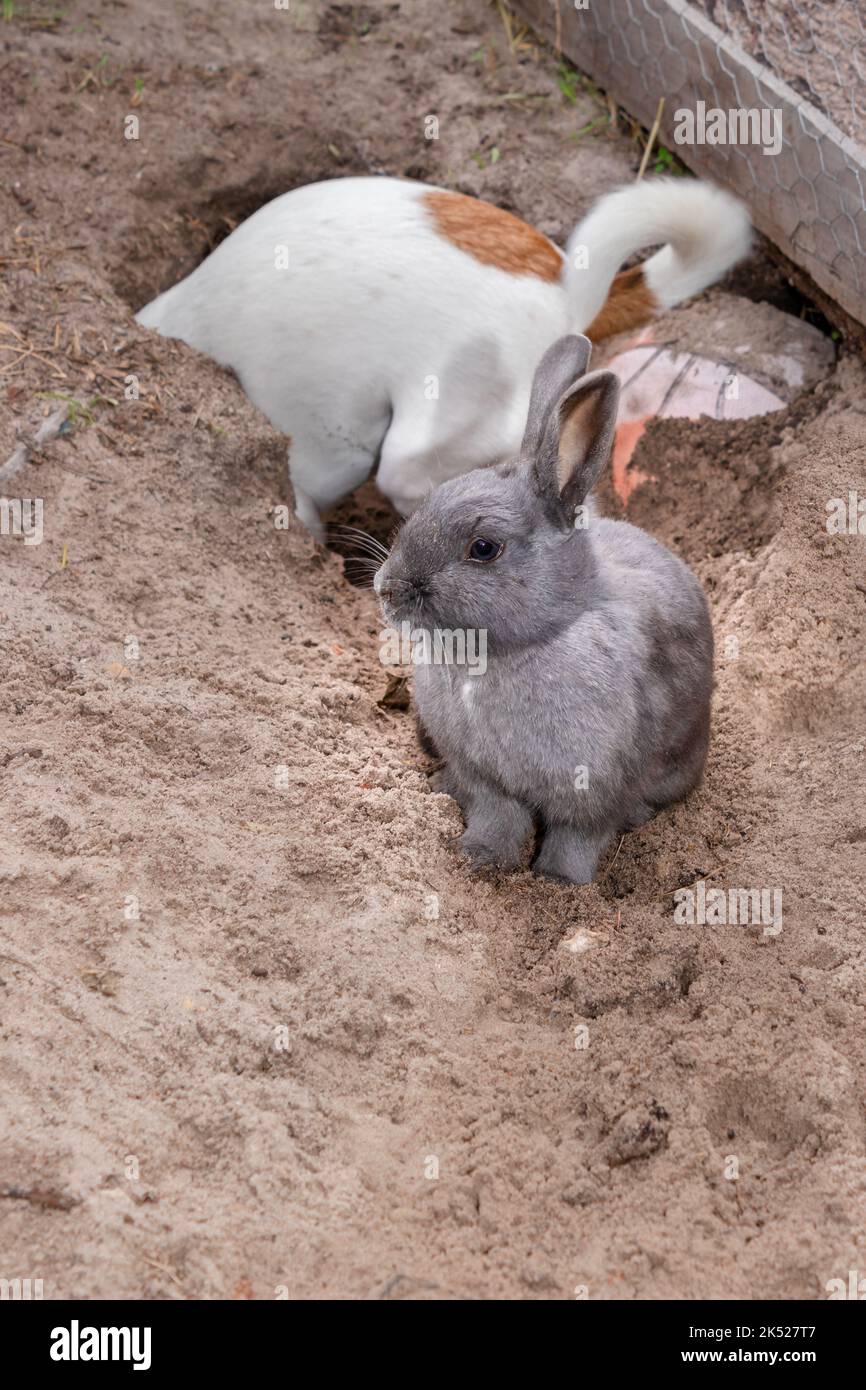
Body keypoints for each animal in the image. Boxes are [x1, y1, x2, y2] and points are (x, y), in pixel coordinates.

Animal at [373, 333, 714, 885]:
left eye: (484, 548)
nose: (386, 588)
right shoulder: (489, 780)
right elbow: (498, 818)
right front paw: (478, 857)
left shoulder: (595, 790)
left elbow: (579, 838)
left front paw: (558, 883)